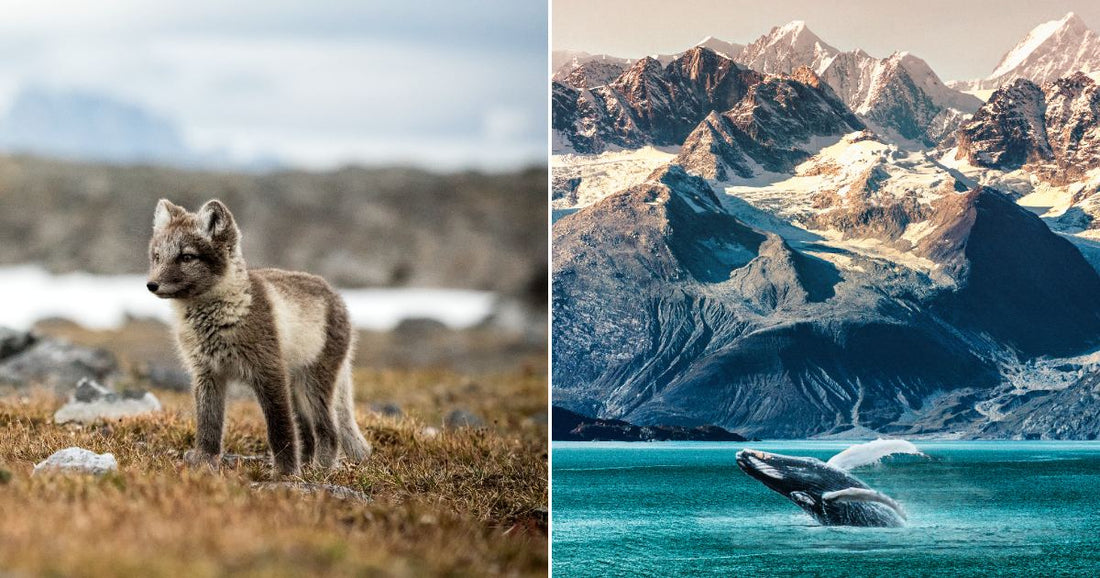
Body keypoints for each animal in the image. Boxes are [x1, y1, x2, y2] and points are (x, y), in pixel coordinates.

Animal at [146, 199, 371, 476]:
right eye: (157, 256)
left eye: (186, 256)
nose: (151, 285)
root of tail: (337, 296)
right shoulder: (207, 374)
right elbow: (209, 427)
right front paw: (204, 464)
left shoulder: (268, 372)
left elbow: (280, 429)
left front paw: (285, 474)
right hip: (295, 389)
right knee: (308, 433)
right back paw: (308, 466)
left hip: (313, 384)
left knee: (329, 431)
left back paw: (319, 470)